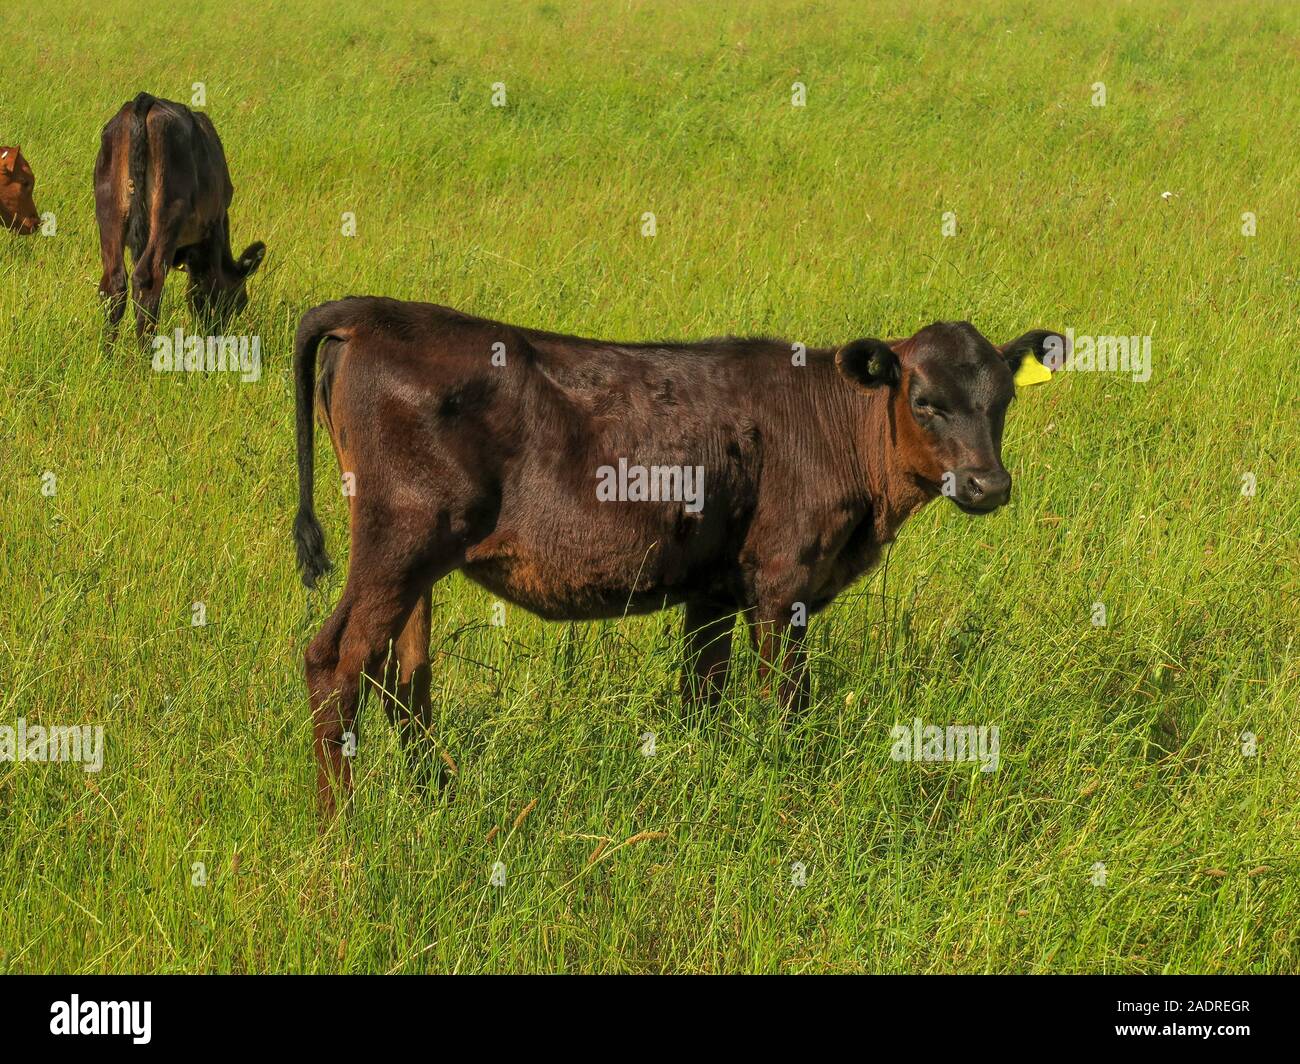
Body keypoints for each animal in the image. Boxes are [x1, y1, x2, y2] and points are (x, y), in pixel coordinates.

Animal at [93, 91, 263, 340]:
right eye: (238, 301)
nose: (216, 332)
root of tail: (144, 101)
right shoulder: (213, 229)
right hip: (168, 214)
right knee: (148, 279)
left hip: (109, 210)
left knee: (113, 282)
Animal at [295, 299, 1066, 811]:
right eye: (925, 399)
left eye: (1002, 400)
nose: (989, 484)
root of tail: (373, 311)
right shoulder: (782, 579)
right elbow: (788, 701)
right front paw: (788, 785)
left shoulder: (712, 588)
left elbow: (703, 694)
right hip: (401, 540)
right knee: (337, 661)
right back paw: (347, 828)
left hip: (420, 558)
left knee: (405, 672)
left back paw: (440, 796)